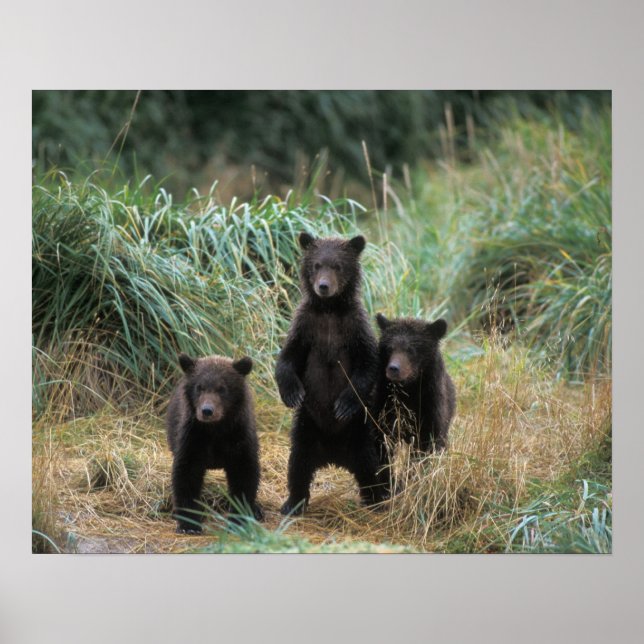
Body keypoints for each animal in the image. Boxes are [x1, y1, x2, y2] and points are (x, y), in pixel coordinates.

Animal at [166, 352, 263, 533]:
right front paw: (189, 524)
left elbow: (244, 474)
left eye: (222, 388)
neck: (216, 430)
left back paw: (257, 510)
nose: (207, 411)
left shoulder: (239, 438)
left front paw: (239, 519)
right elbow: (187, 474)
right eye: (199, 387)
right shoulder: (193, 437)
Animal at [275, 232, 389, 515]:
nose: (323, 286)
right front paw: (291, 393)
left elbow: (367, 364)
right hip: (307, 427)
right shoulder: (305, 326)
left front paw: (343, 404)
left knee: (371, 466)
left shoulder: (354, 327)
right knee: (298, 464)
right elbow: (288, 358)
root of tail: (334, 455)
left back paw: (377, 500)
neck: (329, 309)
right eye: (317, 265)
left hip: (361, 432)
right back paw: (292, 503)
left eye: (337, 265)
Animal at [373, 314, 456, 453]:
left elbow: (430, 440)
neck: (410, 387)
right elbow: (383, 438)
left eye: (411, 350)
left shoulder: (430, 404)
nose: (393, 368)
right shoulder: (385, 405)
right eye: (390, 348)